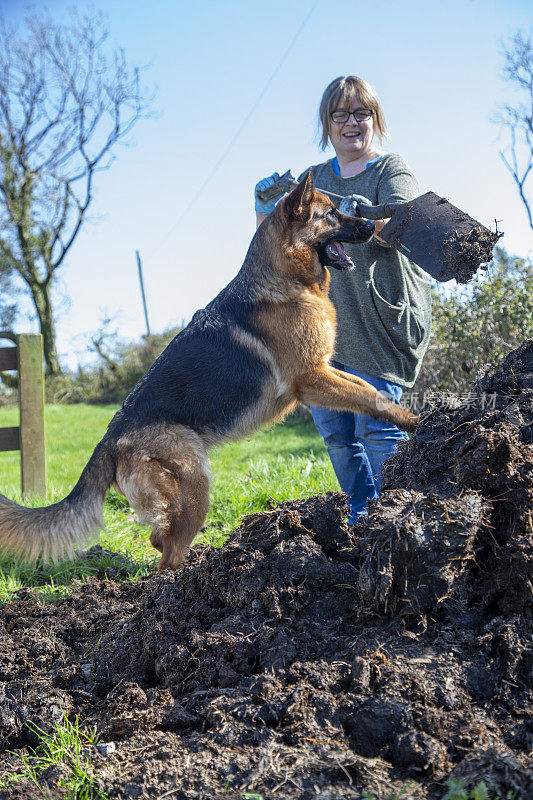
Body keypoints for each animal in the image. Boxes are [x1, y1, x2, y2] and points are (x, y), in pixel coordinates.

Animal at [0, 177, 416, 576]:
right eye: (330, 214)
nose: (373, 225)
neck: (285, 279)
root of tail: (111, 439)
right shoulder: (312, 378)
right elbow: (370, 397)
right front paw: (413, 421)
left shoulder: (326, 371)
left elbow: (369, 390)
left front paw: (410, 415)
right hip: (196, 485)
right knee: (168, 555)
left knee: (159, 538)